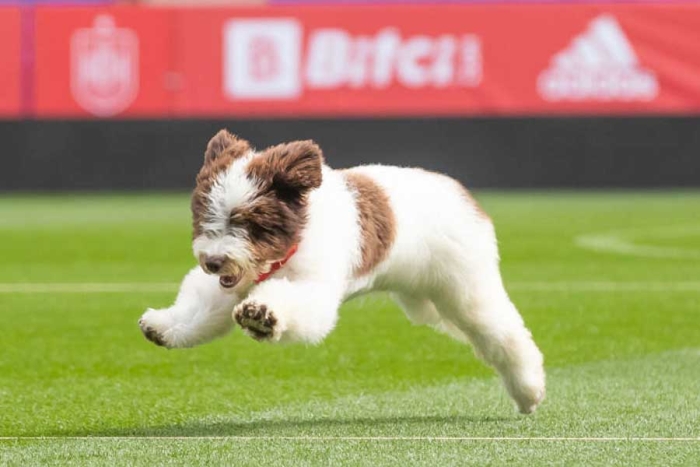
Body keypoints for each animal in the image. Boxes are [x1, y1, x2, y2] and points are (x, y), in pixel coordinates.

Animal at [138, 128, 548, 414]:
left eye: (249, 223)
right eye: (206, 218)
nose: (213, 261)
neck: (294, 238)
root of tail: (461, 191)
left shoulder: (314, 285)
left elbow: (296, 305)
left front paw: (261, 314)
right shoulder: (230, 284)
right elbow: (199, 307)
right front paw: (163, 324)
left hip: (465, 287)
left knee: (504, 334)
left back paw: (528, 391)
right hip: (427, 297)